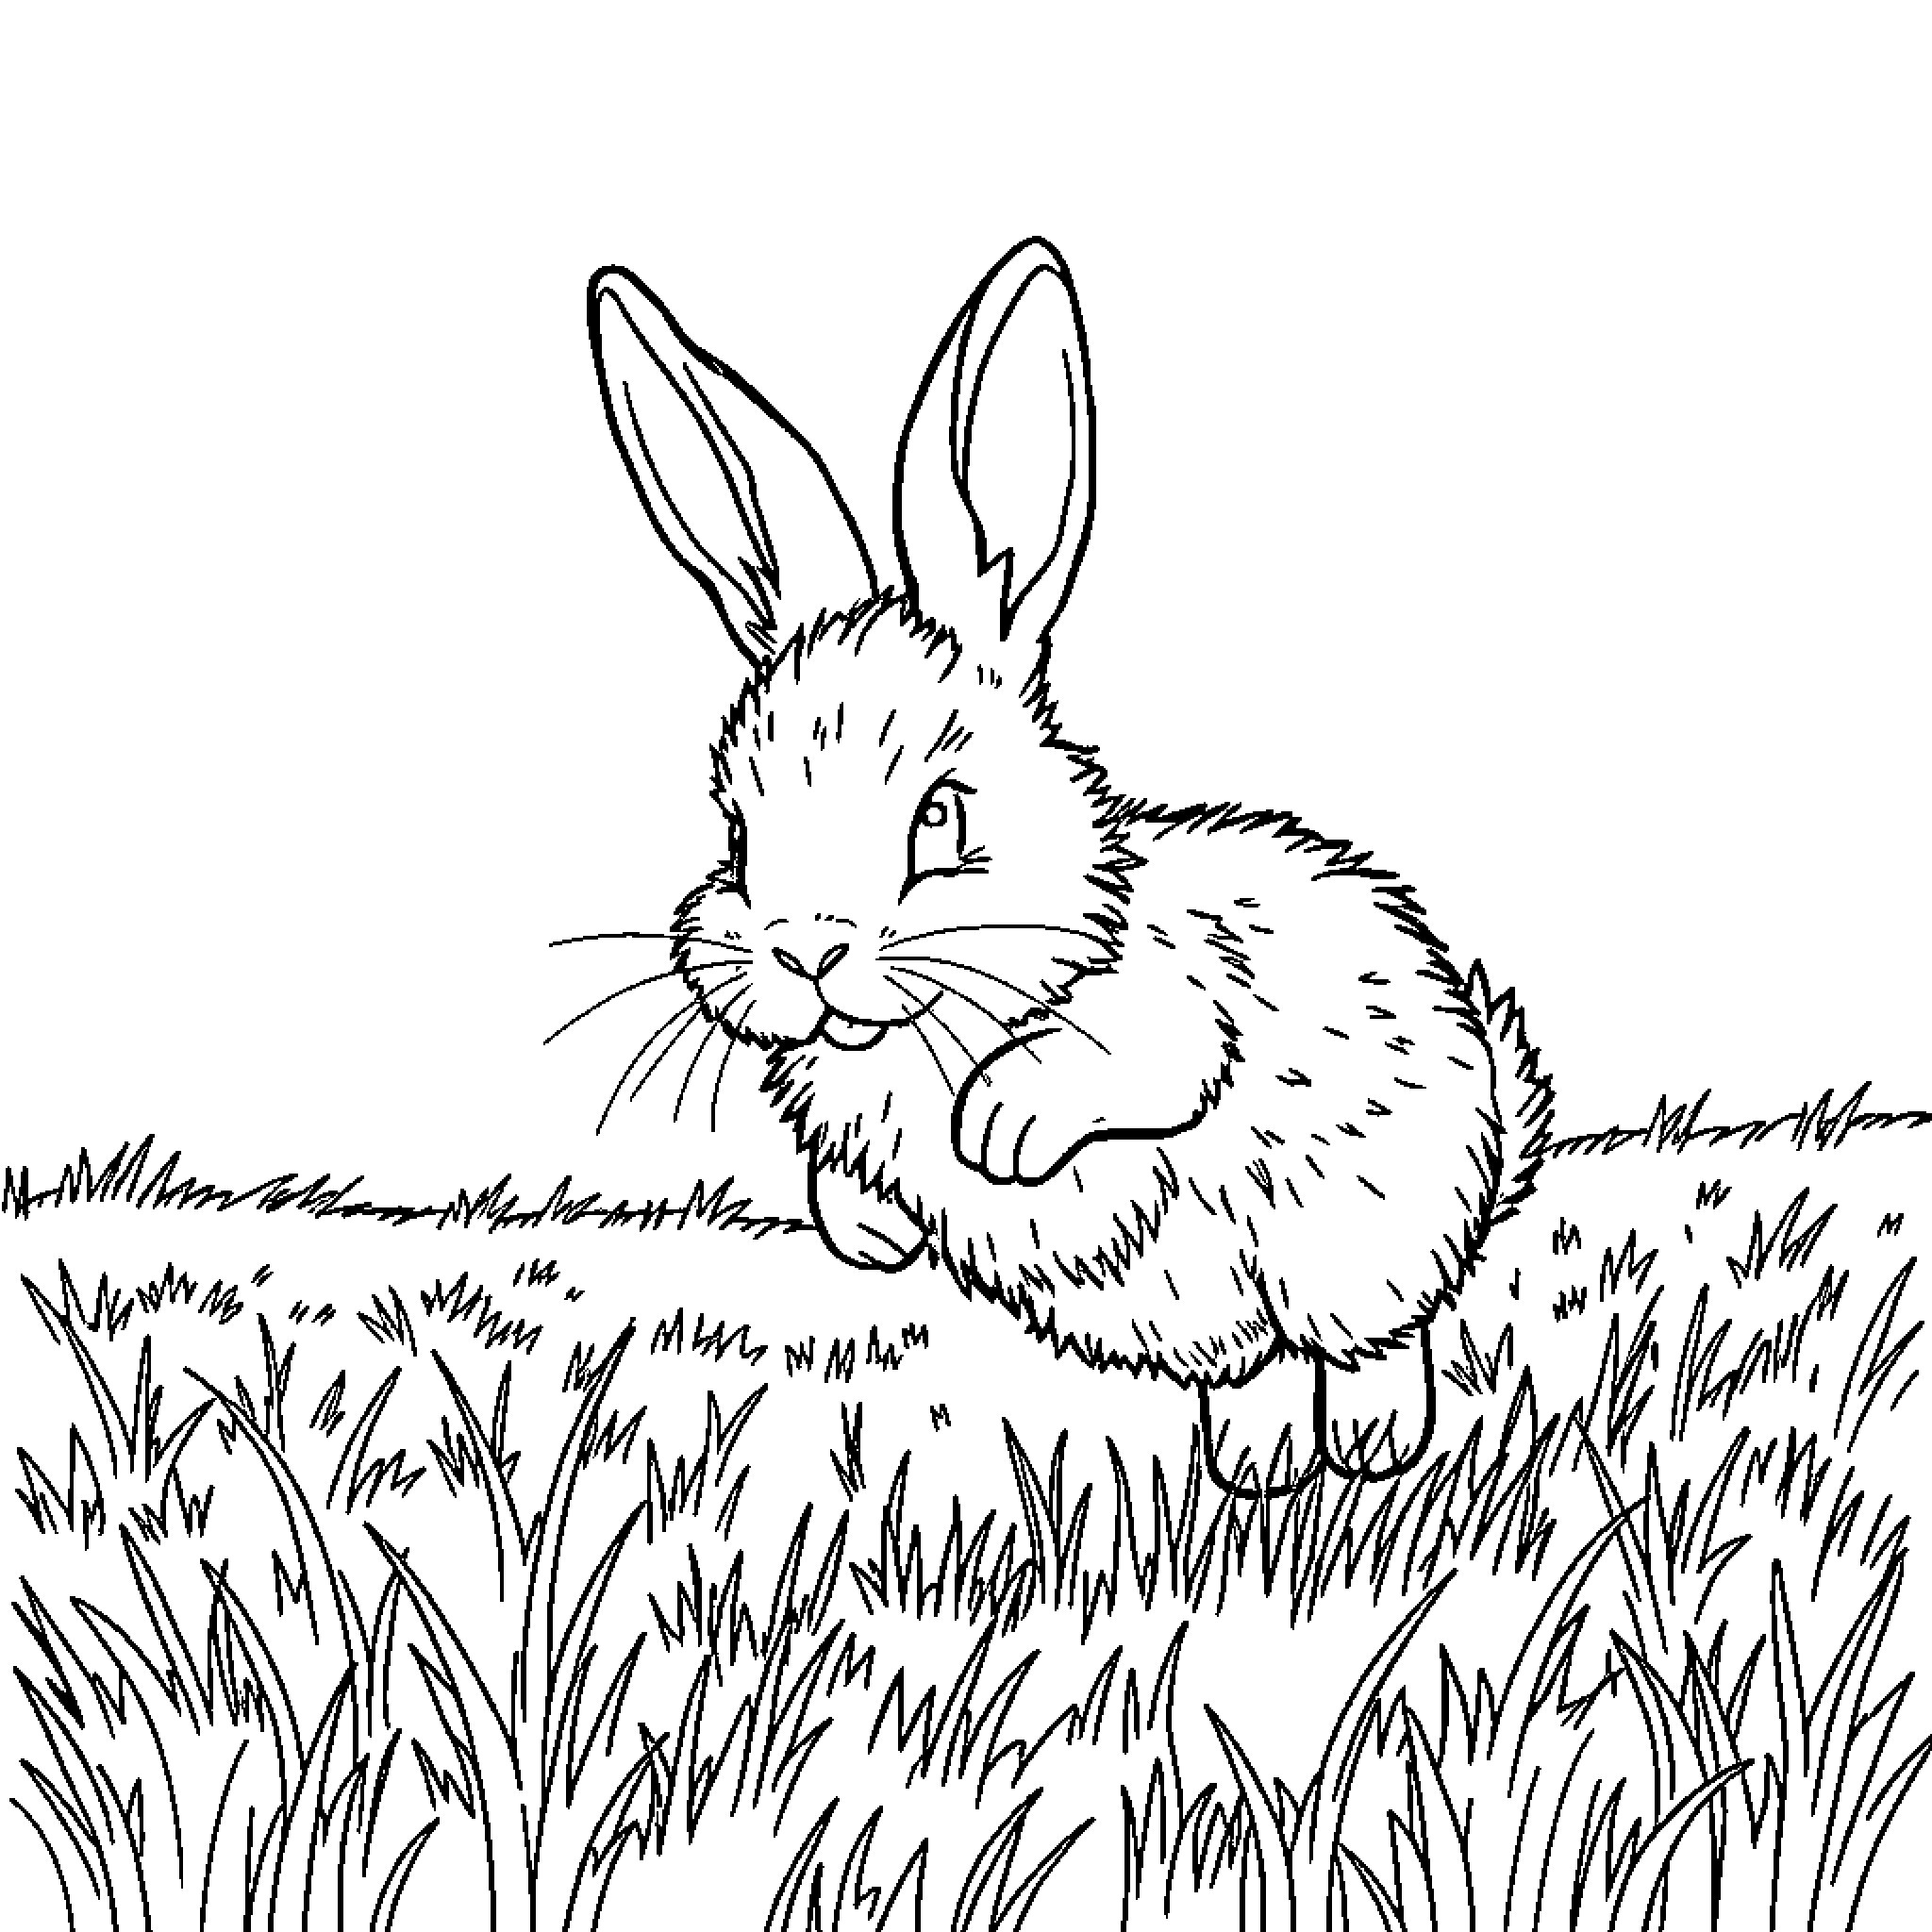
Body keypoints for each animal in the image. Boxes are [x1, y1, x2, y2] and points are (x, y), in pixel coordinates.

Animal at [584, 237, 1555, 1492]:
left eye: (941, 817)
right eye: (740, 833)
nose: (804, 951)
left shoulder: (1177, 998)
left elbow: (1138, 1058)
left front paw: (997, 1130)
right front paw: (871, 1233)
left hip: (1356, 1245)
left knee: (1374, 1338)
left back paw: (1372, 1449)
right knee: (1257, 1370)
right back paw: (1255, 1466)